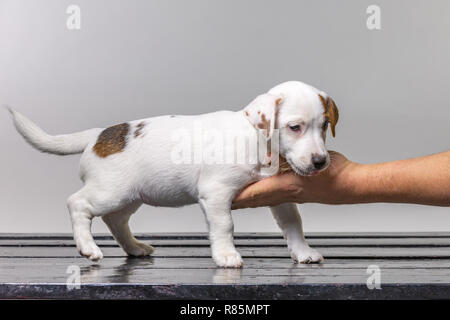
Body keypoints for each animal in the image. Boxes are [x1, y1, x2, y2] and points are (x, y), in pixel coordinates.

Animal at [7, 80, 338, 268]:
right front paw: (226, 256)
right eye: (294, 127)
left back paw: (134, 247)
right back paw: (88, 247)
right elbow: (225, 226)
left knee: (116, 220)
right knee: (78, 204)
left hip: (129, 197)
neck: (257, 139)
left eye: (324, 126)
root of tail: (99, 135)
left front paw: (303, 252)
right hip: (109, 192)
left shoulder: (280, 195)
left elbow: (293, 224)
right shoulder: (216, 193)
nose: (320, 162)